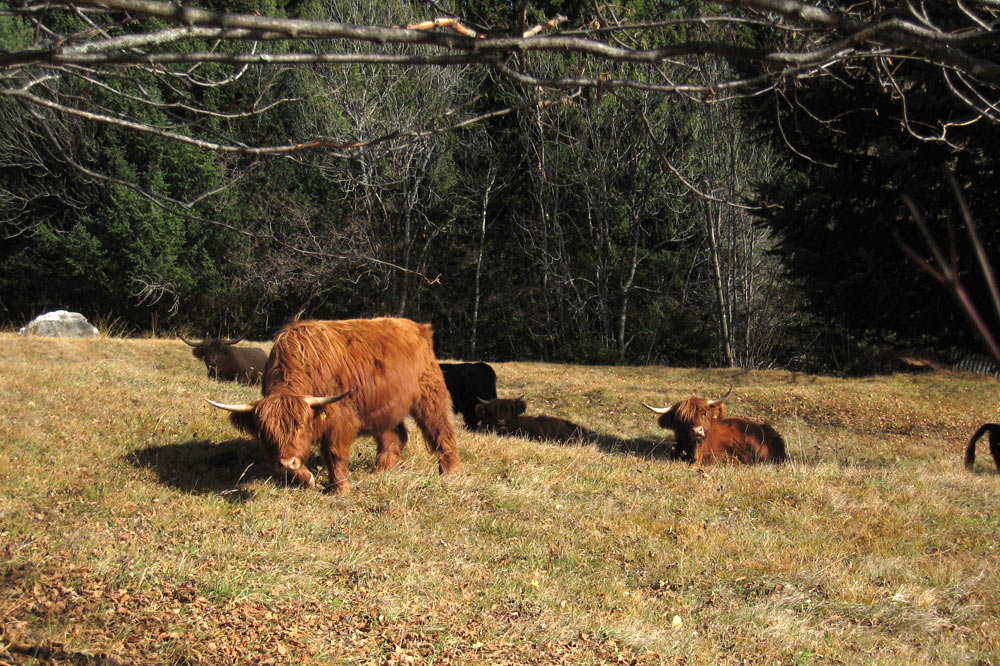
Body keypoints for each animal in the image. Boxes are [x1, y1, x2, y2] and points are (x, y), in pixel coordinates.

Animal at [213, 316, 462, 492]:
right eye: (265, 432)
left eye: (300, 426)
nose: (285, 463)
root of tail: (418, 327)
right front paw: (307, 478)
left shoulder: (341, 417)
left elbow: (333, 452)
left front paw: (340, 488)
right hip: (386, 407)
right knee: (395, 437)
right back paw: (381, 470)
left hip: (430, 396)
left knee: (441, 430)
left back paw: (449, 472)